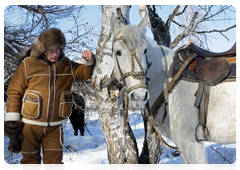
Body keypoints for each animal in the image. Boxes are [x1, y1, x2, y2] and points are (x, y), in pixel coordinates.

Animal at [110, 13, 238, 170]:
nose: (139, 96)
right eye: (118, 52)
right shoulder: (182, 143)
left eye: (145, 51)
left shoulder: (190, 142)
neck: (165, 79)